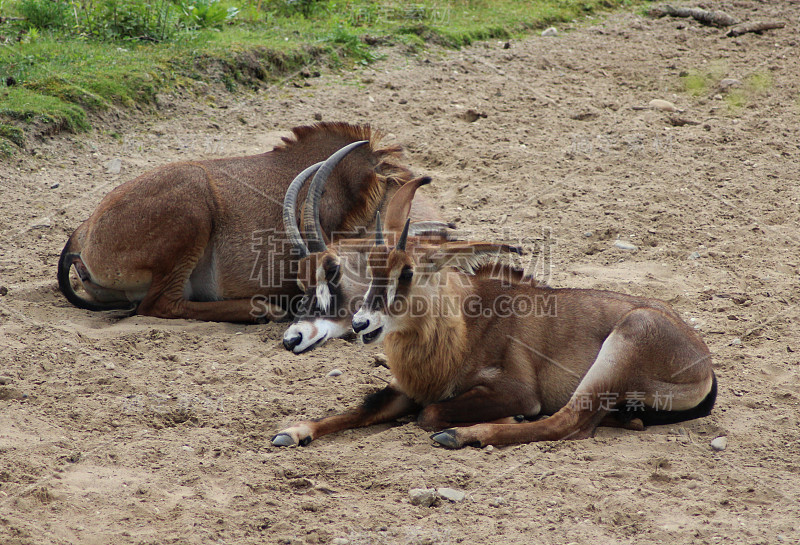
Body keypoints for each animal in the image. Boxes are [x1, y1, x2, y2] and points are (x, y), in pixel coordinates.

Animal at [272, 219, 716, 448]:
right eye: (371, 269)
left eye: (409, 272)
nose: (363, 323)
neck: (465, 324)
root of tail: (704, 365)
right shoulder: (412, 388)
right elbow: (364, 407)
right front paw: (294, 431)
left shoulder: (516, 389)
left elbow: (430, 413)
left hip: (620, 349)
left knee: (567, 423)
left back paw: (461, 435)